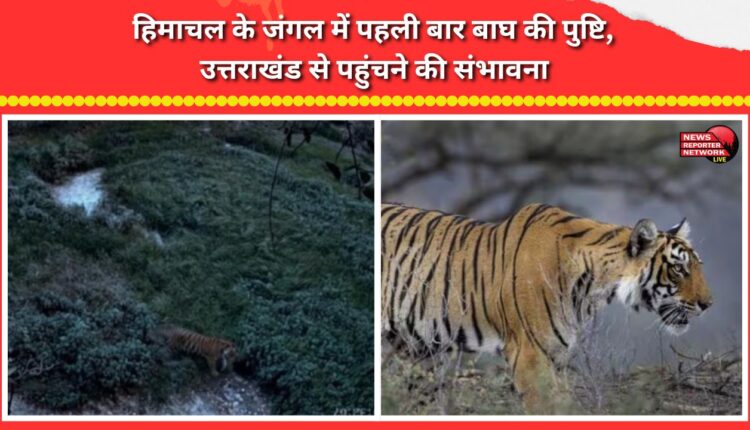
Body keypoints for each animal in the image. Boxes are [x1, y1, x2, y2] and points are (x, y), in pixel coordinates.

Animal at [381, 202, 713, 413]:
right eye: (679, 270)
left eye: (697, 266)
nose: (708, 304)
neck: (594, 286)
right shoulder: (529, 355)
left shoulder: (558, 357)